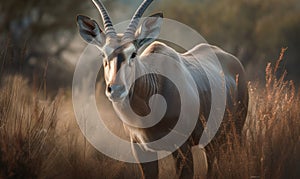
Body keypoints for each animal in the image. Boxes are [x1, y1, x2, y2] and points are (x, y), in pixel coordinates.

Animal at [77, 0, 248, 178]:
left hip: (232, 133)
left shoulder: (182, 148)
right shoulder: (141, 149)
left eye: (133, 53)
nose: (116, 89)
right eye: (103, 54)